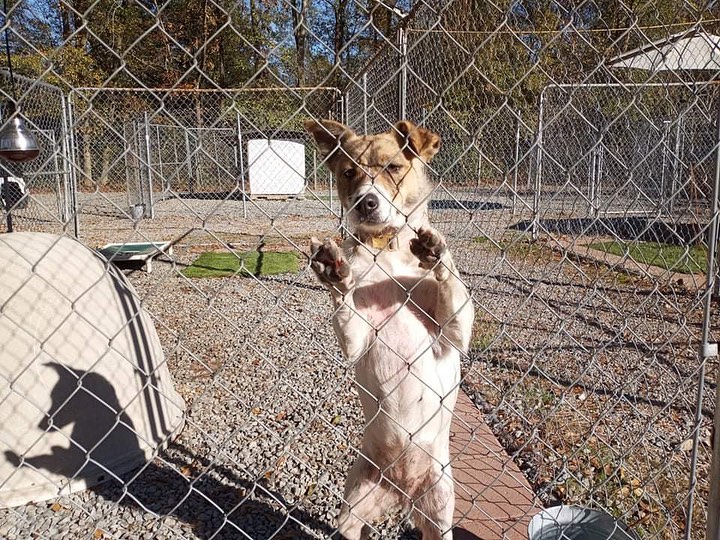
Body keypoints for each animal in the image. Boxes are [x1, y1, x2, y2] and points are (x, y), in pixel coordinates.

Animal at [306, 119, 476, 540]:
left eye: (394, 168)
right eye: (348, 173)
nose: (366, 202)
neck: (388, 252)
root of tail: (402, 490)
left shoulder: (454, 335)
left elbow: (452, 285)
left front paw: (435, 250)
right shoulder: (356, 339)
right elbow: (345, 304)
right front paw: (334, 272)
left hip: (440, 508)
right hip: (353, 508)